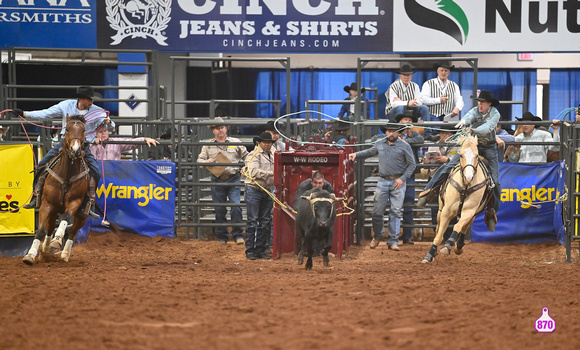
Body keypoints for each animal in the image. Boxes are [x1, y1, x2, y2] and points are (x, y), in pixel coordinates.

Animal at [23, 115, 90, 266]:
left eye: (83, 130)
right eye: (68, 129)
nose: (75, 149)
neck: (67, 174)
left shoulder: (75, 202)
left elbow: (65, 218)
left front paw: (57, 240)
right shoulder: (47, 205)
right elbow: (41, 230)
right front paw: (30, 255)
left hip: (83, 215)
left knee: (72, 231)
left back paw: (64, 254)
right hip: (53, 209)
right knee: (50, 228)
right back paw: (44, 250)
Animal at [424, 135, 492, 264]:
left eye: (476, 155)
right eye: (461, 155)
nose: (469, 177)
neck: (465, 186)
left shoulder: (469, 211)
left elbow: (458, 226)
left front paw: (449, 245)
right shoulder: (447, 210)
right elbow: (439, 235)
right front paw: (429, 255)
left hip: (473, 213)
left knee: (464, 226)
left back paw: (458, 246)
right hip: (440, 209)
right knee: (438, 228)